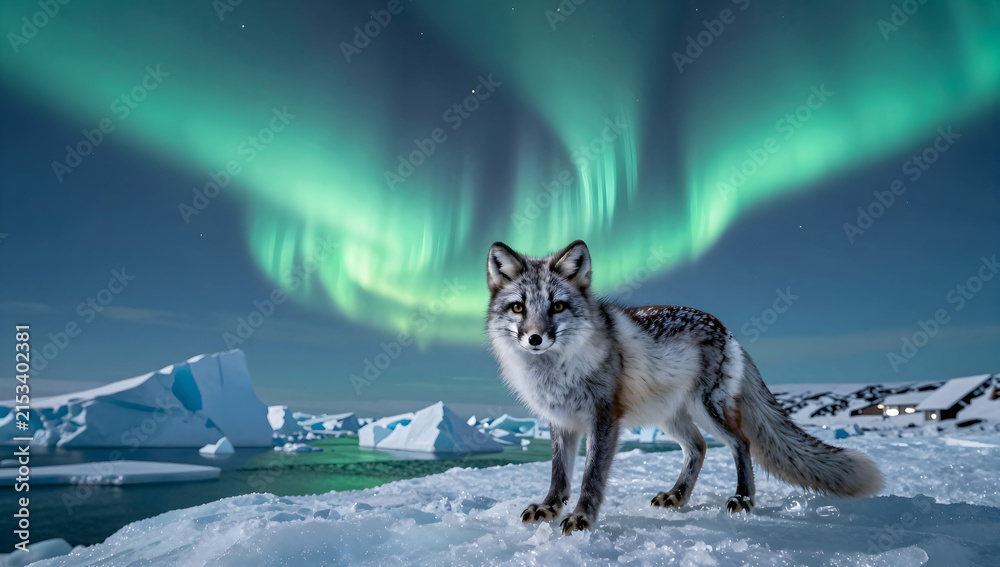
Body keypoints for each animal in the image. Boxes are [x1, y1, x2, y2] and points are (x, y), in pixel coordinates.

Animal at [485, 240, 883, 535]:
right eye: (519, 308)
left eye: (557, 307)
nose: (535, 339)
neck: (555, 372)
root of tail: (726, 328)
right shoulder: (561, 421)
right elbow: (559, 475)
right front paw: (549, 508)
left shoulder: (604, 418)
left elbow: (590, 477)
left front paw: (582, 517)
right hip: (669, 417)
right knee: (699, 447)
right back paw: (678, 496)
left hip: (708, 409)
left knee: (741, 443)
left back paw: (743, 499)